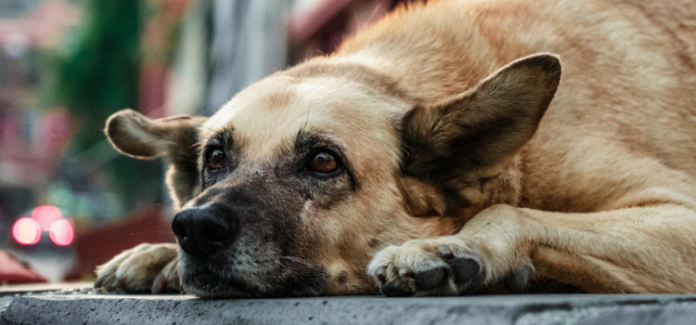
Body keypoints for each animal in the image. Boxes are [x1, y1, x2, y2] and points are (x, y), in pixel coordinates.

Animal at [94, 0, 696, 296]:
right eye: (215, 160)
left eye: (323, 161)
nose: (194, 228)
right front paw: (157, 255)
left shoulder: (681, 214)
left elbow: (510, 210)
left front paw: (450, 247)